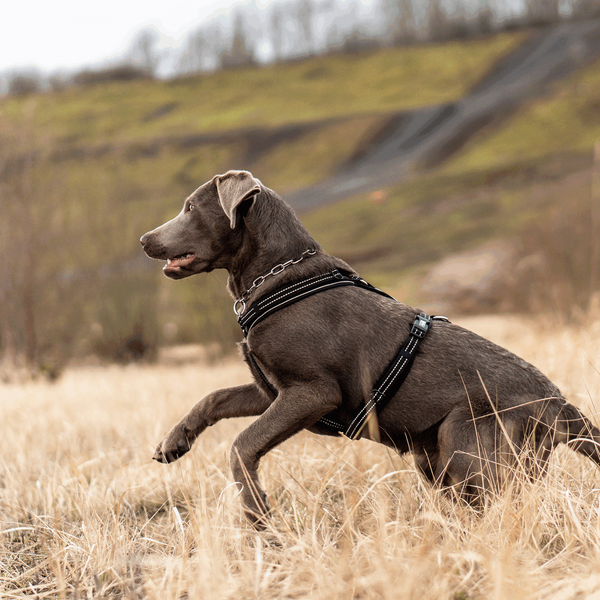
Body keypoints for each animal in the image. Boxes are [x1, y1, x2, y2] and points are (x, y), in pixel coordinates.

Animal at [139, 170, 600, 524]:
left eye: (190, 208)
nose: (144, 239)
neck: (277, 276)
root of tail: (561, 405)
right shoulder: (272, 390)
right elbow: (213, 398)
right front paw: (173, 441)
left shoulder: (312, 393)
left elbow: (242, 445)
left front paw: (258, 514)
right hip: (434, 455)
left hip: (466, 442)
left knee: (501, 504)